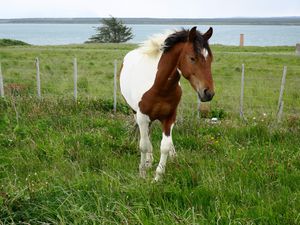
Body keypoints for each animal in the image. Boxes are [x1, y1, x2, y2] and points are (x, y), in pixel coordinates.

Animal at [118, 26, 214, 181]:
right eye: (192, 58)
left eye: (210, 59)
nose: (208, 93)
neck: (160, 87)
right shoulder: (142, 117)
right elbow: (144, 145)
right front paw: (142, 173)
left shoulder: (169, 117)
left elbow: (165, 146)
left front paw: (158, 176)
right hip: (136, 114)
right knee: (146, 137)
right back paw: (148, 161)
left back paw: (171, 157)